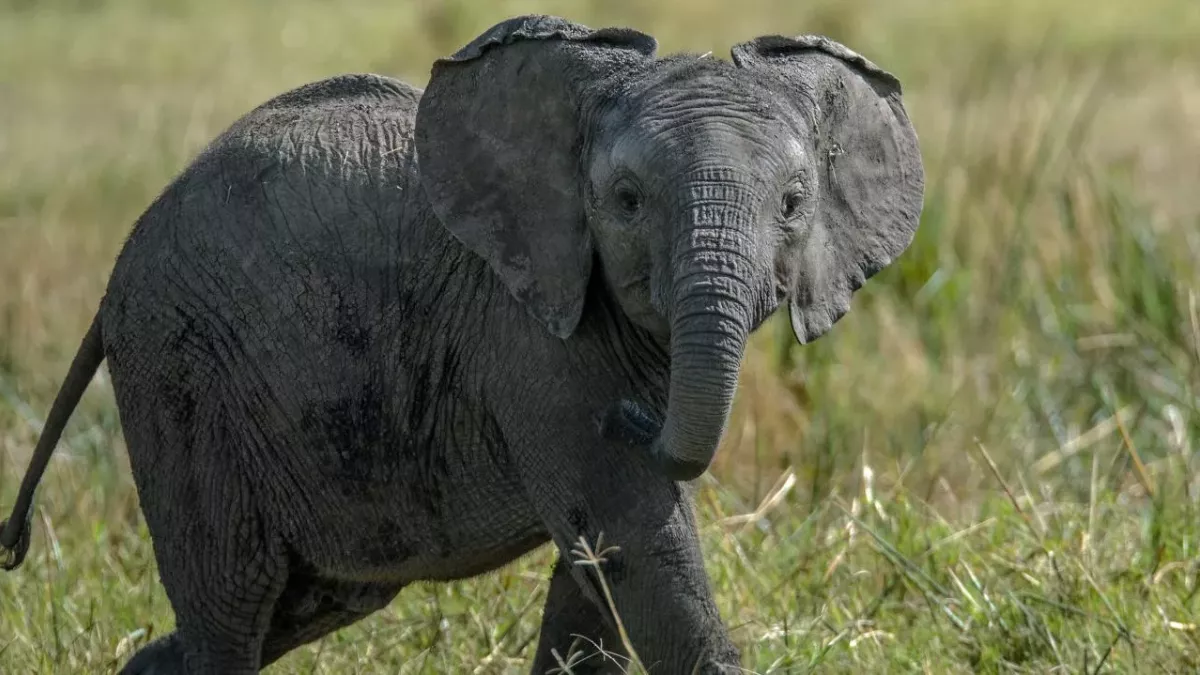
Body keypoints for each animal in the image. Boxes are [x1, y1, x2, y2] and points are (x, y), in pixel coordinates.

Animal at [0, 14, 924, 674]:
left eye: (794, 205)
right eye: (625, 201)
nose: (636, 417)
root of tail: (116, 272)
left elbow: (599, 564)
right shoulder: (533, 339)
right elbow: (632, 531)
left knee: (303, 601)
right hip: (181, 371)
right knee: (231, 603)